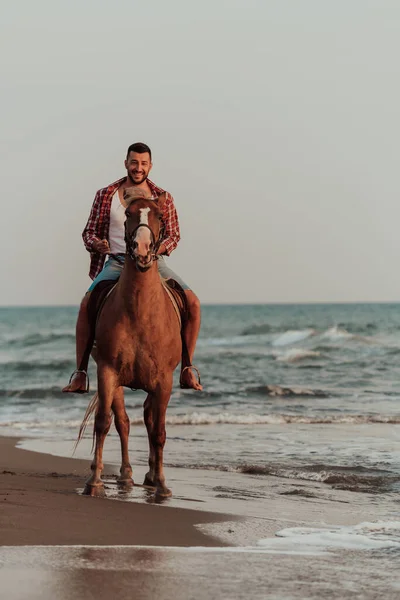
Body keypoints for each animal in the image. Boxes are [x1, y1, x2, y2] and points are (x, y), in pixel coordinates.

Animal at [77, 191, 183, 496]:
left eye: (159, 215)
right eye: (127, 215)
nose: (142, 249)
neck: (141, 311)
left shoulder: (163, 380)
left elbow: (159, 430)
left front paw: (162, 485)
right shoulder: (107, 372)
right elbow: (104, 422)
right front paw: (94, 481)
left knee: (148, 419)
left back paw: (151, 475)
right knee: (123, 422)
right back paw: (125, 475)